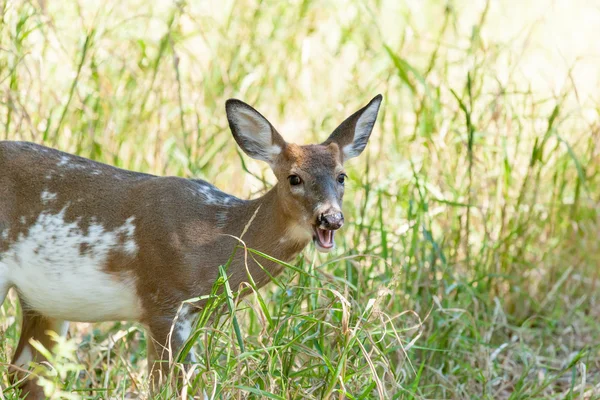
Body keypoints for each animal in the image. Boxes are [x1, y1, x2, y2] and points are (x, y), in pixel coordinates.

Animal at [0, 94, 382, 396]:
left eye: (342, 177)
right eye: (294, 178)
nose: (330, 218)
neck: (214, 239)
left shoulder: (197, 314)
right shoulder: (162, 302)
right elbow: (166, 388)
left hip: (46, 301)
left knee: (25, 373)